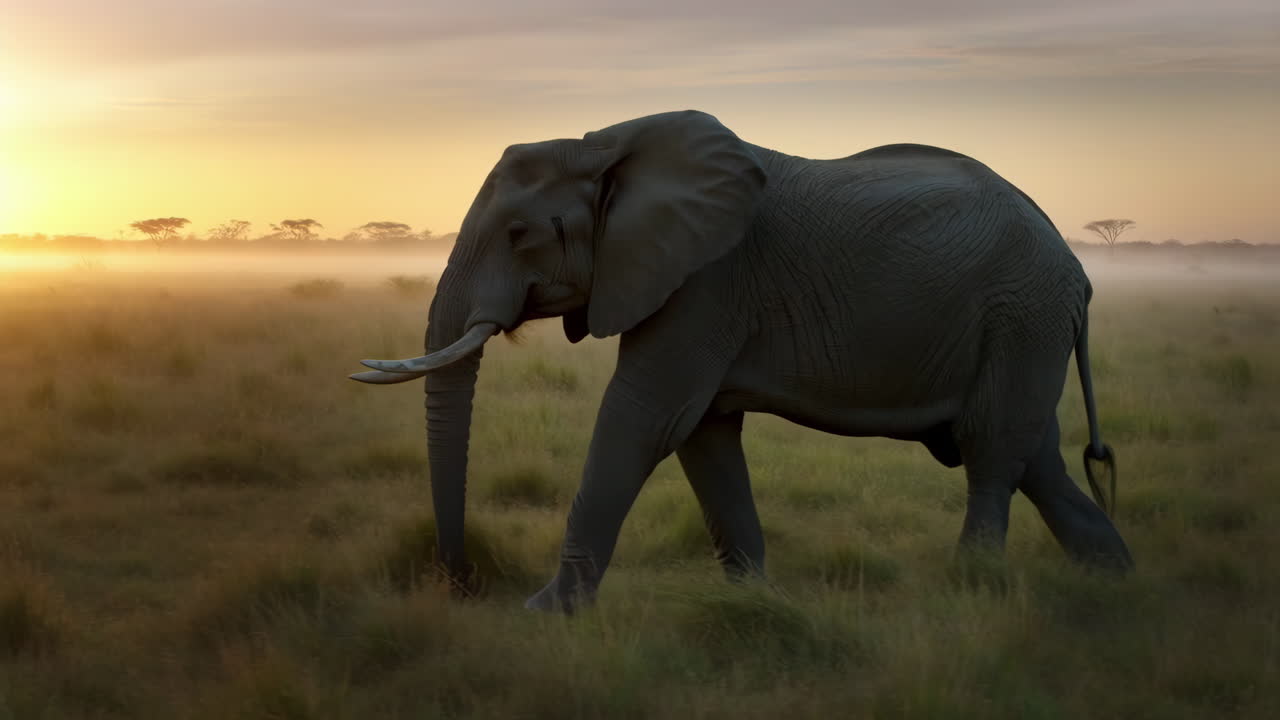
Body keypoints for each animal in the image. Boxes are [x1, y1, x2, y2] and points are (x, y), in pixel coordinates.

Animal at [351, 110, 1134, 613]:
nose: (463, 585)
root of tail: (1080, 273)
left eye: (519, 235)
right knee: (1035, 457)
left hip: (1020, 313)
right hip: (1020, 326)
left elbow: (644, 418)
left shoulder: (707, 281)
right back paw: (1115, 583)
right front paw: (751, 602)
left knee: (993, 450)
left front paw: (546, 613)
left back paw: (973, 588)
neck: (601, 145)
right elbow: (704, 438)